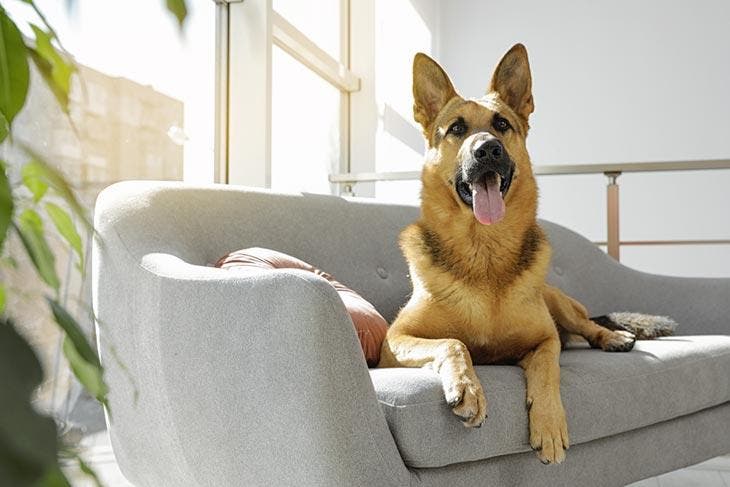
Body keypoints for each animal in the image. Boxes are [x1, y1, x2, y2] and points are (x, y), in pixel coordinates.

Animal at [378, 44, 672, 466]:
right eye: (457, 129)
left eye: (502, 124)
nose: (488, 149)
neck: (484, 253)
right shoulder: (394, 342)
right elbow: (453, 342)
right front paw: (468, 387)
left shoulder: (544, 341)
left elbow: (548, 371)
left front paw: (549, 425)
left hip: (560, 303)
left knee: (587, 325)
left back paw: (612, 336)